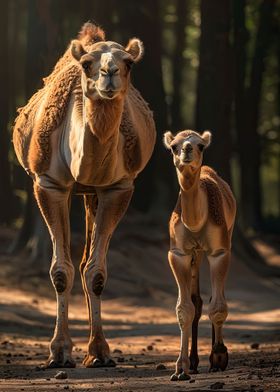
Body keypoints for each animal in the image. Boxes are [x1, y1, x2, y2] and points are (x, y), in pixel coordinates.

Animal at [164, 130, 236, 382]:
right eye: (173, 146)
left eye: (201, 145)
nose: (187, 149)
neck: (196, 221)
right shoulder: (179, 253)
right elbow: (185, 309)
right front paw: (181, 368)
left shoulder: (219, 251)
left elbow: (218, 307)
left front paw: (219, 356)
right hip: (196, 253)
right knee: (197, 301)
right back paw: (194, 363)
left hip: (227, 235)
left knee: (216, 297)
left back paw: (213, 359)